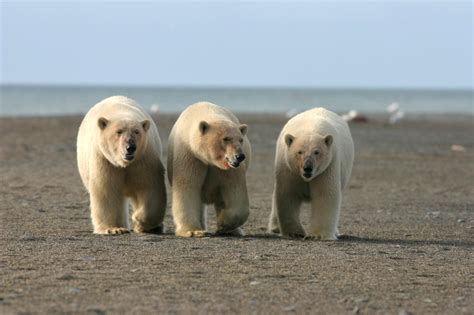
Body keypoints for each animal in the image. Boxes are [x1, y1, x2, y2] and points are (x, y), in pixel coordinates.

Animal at [77, 95, 168, 235]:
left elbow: (149, 186)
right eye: (119, 132)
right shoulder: (105, 160)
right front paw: (114, 228)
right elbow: (106, 190)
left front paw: (140, 221)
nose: (130, 147)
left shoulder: (144, 158)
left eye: (136, 131)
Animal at [168, 102, 254, 238]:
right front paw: (193, 231)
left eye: (241, 140)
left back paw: (234, 230)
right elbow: (188, 187)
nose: (240, 156)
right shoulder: (191, 156)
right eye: (226, 139)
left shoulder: (227, 169)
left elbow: (234, 190)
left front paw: (223, 223)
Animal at [268, 107, 354, 241]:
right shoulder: (289, 169)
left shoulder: (327, 168)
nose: (307, 168)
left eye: (317, 152)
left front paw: (317, 235)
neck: (310, 128)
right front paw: (294, 233)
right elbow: (288, 194)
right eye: (299, 152)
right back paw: (275, 227)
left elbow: (324, 195)